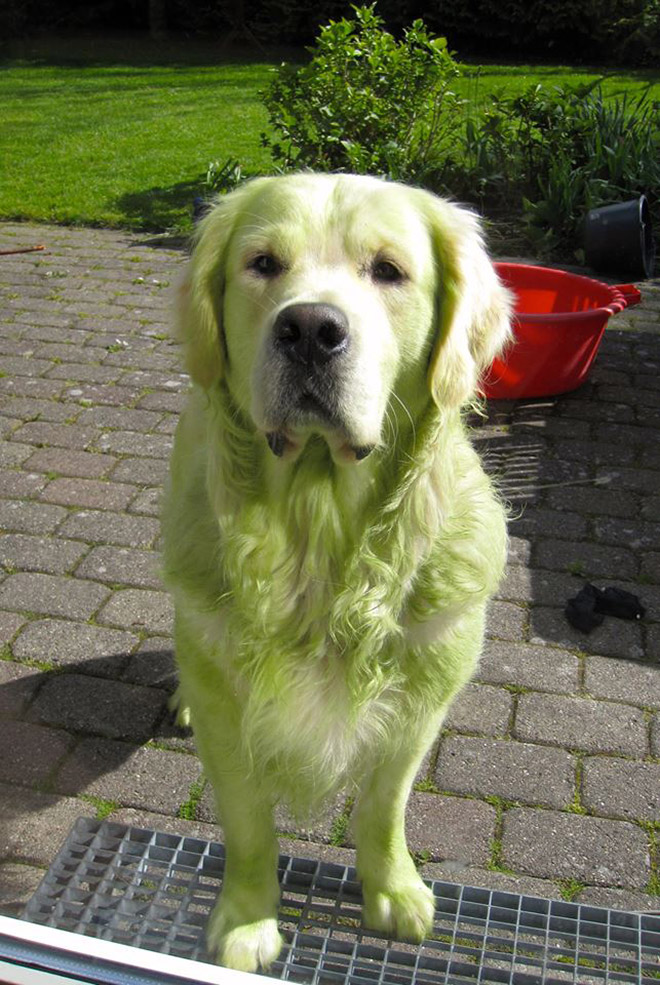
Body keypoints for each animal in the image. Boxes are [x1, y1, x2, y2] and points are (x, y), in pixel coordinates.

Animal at [162, 175, 512, 968]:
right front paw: (248, 917)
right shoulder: (229, 707)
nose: (310, 329)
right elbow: (248, 822)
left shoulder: (421, 696)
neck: (321, 536)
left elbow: (383, 808)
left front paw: (393, 891)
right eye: (263, 263)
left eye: (388, 271)